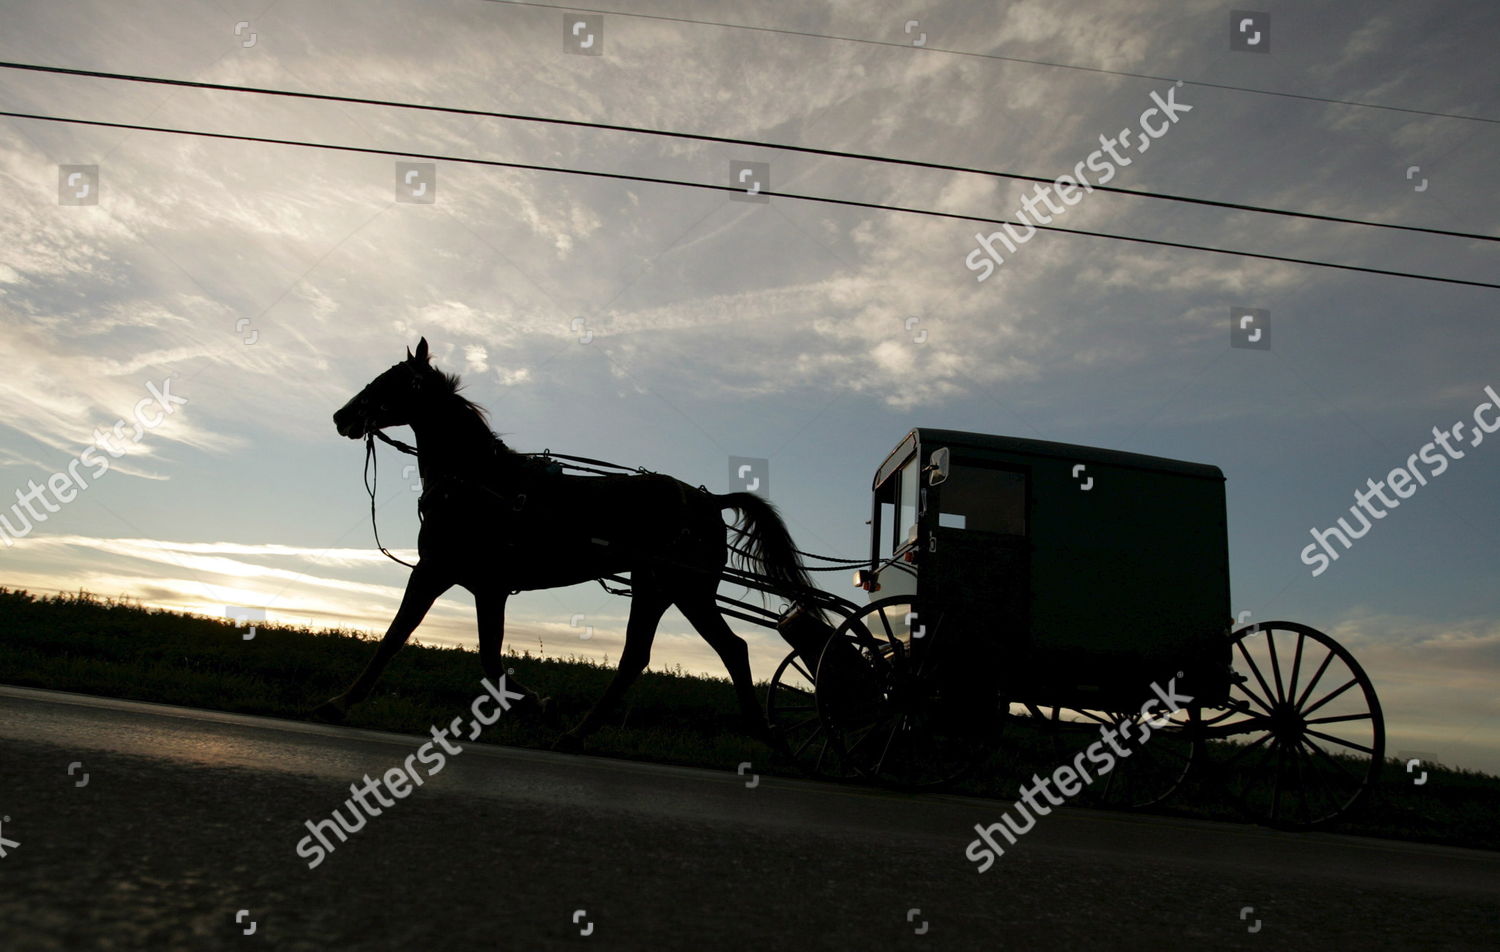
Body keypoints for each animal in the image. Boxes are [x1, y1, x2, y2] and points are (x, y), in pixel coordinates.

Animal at [313, 337, 810, 752]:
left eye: (389, 381)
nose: (341, 416)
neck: (479, 481)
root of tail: (708, 500)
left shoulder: (441, 571)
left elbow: (400, 637)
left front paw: (338, 703)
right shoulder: (479, 585)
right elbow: (483, 657)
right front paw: (540, 705)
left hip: (683, 589)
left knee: (727, 650)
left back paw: (766, 733)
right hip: (659, 588)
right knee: (648, 656)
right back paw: (581, 732)